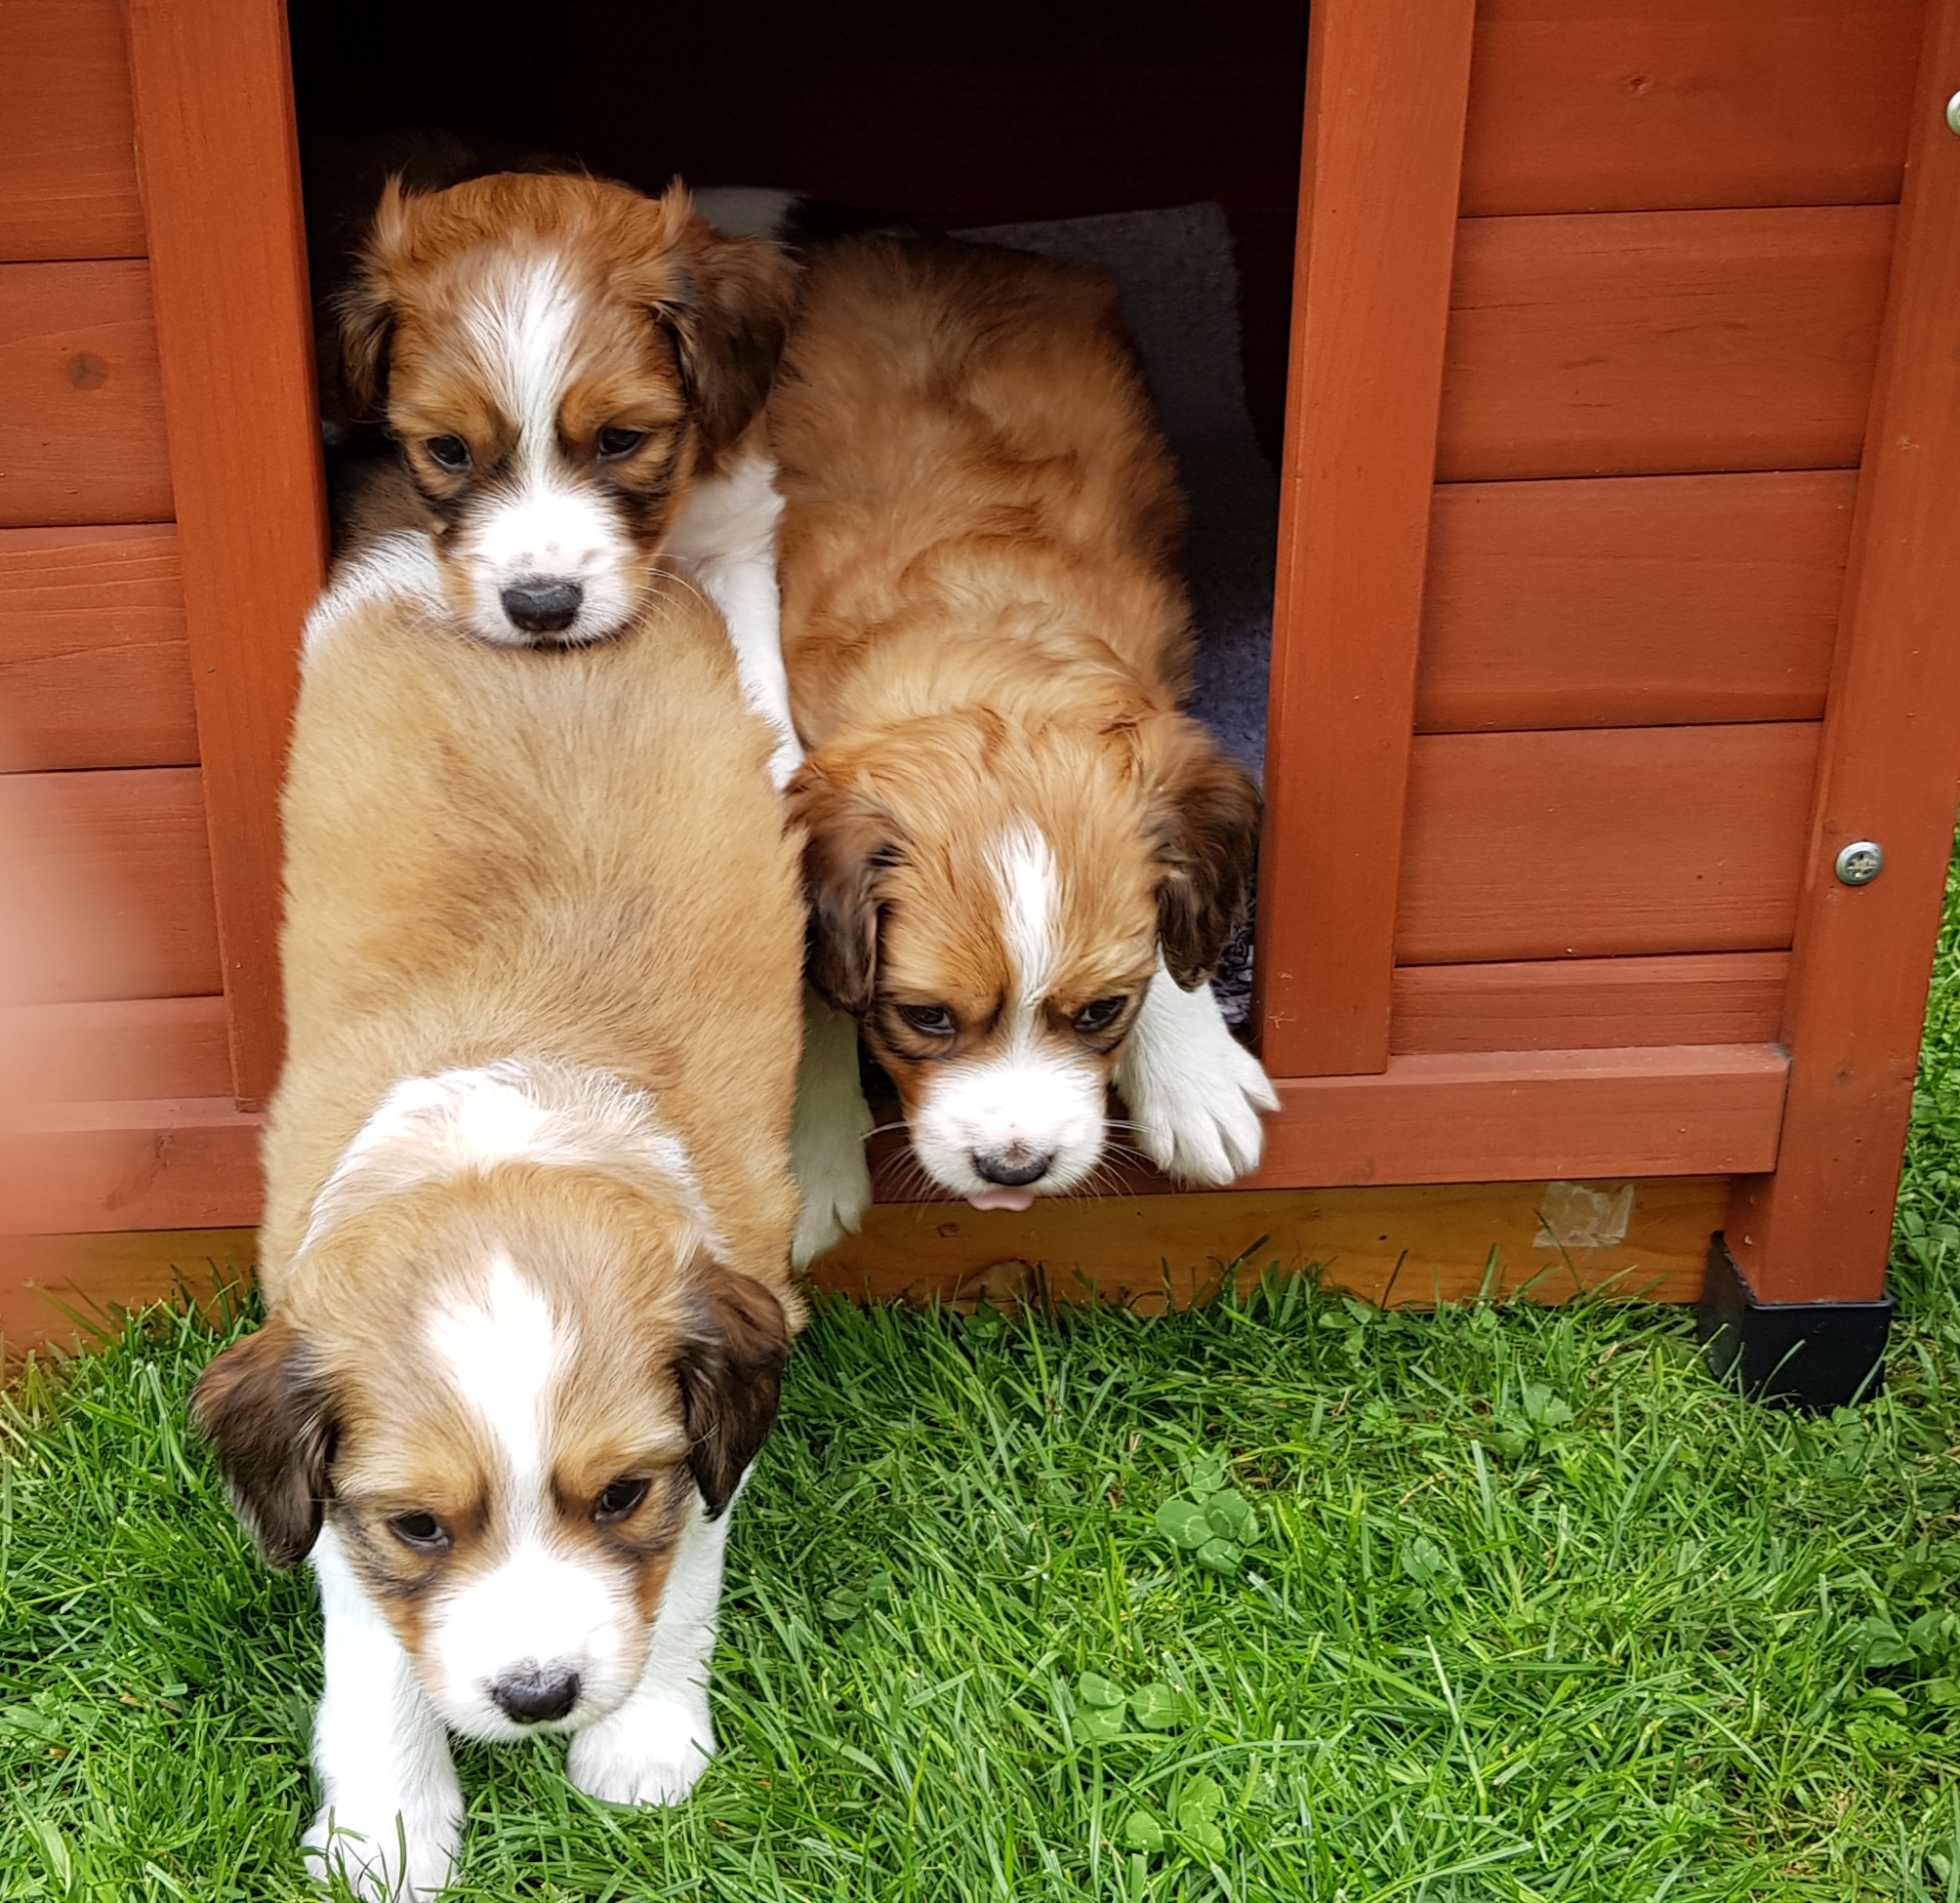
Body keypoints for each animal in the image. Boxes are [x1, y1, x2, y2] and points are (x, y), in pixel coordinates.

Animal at [191, 536, 806, 1901]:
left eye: (620, 1497)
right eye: (423, 1525)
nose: (538, 1699)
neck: (509, 1107)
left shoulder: (709, 1436)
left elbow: (684, 1574)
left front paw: (641, 1742)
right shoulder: (344, 1506)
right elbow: (373, 1648)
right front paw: (387, 1831)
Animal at [769, 235, 1278, 1243]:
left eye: (1102, 1011)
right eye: (924, 1017)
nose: (1017, 1168)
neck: (986, 655)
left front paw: (1193, 1076)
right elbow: (817, 982)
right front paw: (811, 1155)